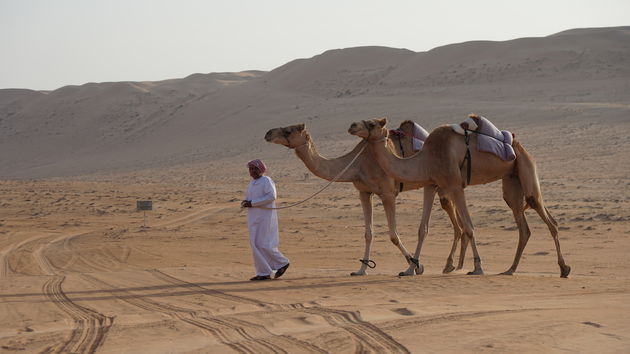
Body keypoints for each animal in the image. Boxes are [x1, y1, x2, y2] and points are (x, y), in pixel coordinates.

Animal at [262, 123, 470, 276]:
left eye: (288, 130)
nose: (268, 133)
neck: (357, 164)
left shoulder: (388, 192)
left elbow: (393, 235)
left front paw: (416, 265)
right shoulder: (363, 192)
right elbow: (368, 233)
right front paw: (361, 269)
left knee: (451, 212)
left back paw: (451, 264)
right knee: (453, 214)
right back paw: (453, 264)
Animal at [348, 117, 576, 278]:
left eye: (371, 123)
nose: (351, 126)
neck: (426, 157)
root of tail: (519, 144)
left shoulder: (455, 185)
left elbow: (469, 226)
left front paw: (477, 267)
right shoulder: (431, 184)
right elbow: (423, 229)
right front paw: (410, 269)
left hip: (526, 168)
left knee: (546, 216)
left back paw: (564, 268)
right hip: (512, 180)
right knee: (524, 226)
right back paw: (510, 269)